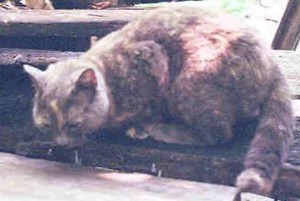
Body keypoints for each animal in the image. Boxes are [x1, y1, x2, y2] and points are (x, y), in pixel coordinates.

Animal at [24, 5, 292, 196]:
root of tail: (271, 63)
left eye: (73, 124)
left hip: (194, 77)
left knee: (218, 135)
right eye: (47, 125)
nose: (60, 143)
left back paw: (160, 130)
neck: (110, 83)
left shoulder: (150, 57)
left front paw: (141, 125)